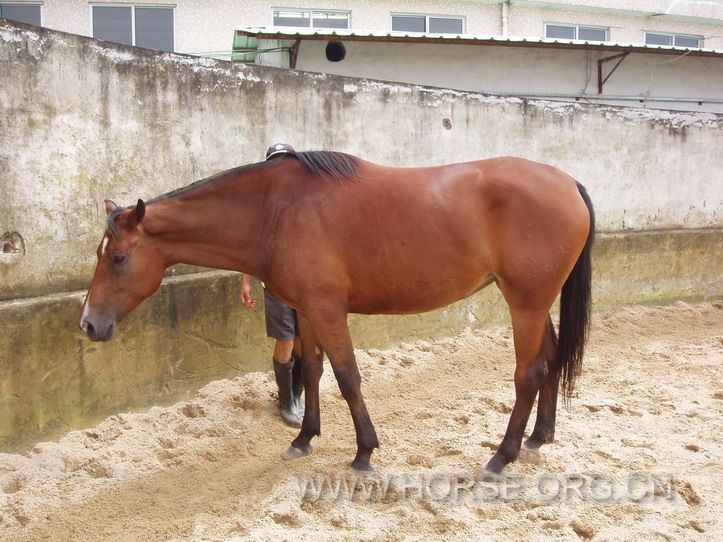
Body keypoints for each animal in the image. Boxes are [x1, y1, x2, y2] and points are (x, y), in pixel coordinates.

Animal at [82, 151, 596, 474]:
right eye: (101, 253)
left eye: (118, 257)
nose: (88, 323)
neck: (276, 209)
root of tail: (568, 182)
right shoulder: (307, 310)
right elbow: (310, 370)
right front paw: (304, 438)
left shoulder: (328, 310)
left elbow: (348, 376)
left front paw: (364, 452)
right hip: (535, 303)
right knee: (550, 360)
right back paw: (539, 437)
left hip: (525, 302)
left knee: (528, 373)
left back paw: (503, 455)